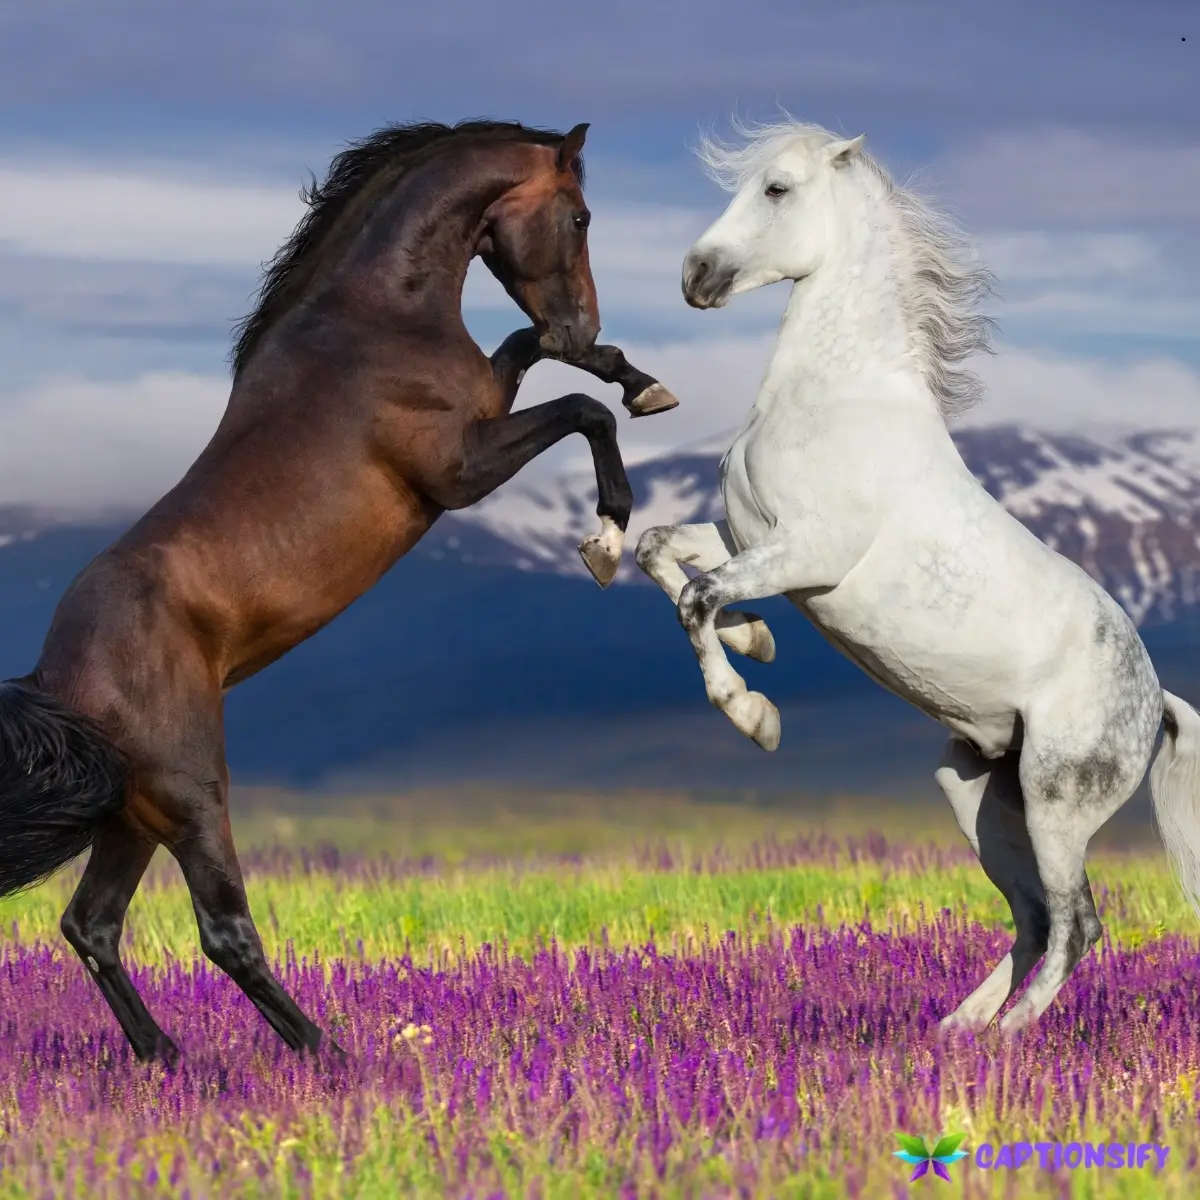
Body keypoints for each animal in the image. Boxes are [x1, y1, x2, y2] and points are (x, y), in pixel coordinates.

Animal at [0, 118, 682, 1065]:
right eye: (580, 216)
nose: (584, 317)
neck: (374, 321)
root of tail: (57, 677)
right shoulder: (459, 469)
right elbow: (585, 411)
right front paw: (606, 537)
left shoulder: (488, 400)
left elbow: (538, 357)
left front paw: (640, 378)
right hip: (192, 793)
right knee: (223, 933)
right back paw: (329, 1054)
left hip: (133, 814)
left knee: (91, 925)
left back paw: (165, 1060)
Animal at [635, 115, 1200, 1035]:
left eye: (778, 189)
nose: (696, 276)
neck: (837, 396)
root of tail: (1156, 703)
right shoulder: (749, 536)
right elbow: (660, 550)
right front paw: (757, 646)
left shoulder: (808, 554)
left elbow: (697, 595)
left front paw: (754, 716)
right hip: (978, 793)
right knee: (1032, 917)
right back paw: (954, 1033)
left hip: (1056, 800)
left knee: (1078, 922)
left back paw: (1009, 1038)